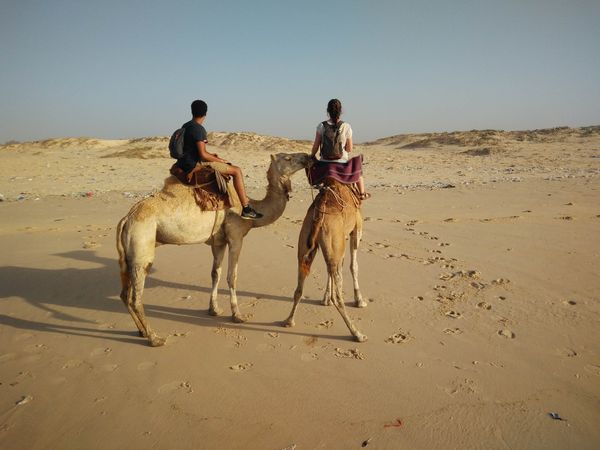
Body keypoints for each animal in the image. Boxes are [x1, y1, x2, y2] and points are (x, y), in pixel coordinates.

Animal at [116, 151, 310, 344]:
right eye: (288, 158)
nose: (307, 157)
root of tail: (126, 218)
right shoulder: (235, 236)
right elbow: (232, 276)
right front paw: (237, 315)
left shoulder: (219, 242)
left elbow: (215, 273)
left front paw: (214, 309)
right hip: (142, 244)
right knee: (135, 297)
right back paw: (154, 338)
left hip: (127, 255)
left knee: (125, 294)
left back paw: (142, 331)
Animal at [284, 178, 368, 342]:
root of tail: (319, 216)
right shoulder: (356, 230)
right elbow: (353, 266)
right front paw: (359, 300)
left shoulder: (338, 245)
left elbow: (332, 271)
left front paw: (325, 299)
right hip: (335, 238)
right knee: (338, 297)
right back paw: (357, 333)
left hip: (307, 243)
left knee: (299, 287)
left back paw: (289, 320)